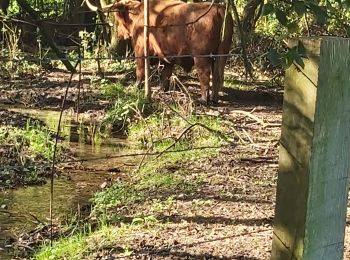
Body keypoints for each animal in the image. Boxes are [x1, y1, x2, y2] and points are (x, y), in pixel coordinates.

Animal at [85, 0, 232, 103]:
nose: (119, 32)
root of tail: (219, 8)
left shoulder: (140, 49)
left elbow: (140, 70)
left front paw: (137, 86)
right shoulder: (167, 55)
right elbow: (165, 74)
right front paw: (162, 90)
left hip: (201, 56)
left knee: (205, 74)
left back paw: (203, 99)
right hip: (222, 54)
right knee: (218, 74)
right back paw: (214, 98)